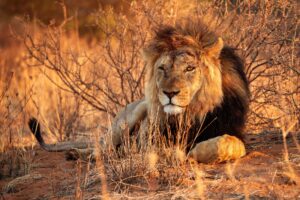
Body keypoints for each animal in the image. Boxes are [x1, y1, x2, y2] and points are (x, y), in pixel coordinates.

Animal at [28, 20, 250, 164]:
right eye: (162, 68)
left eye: (189, 68)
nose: (169, 93)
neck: (191, 114)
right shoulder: (151, 139)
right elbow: (163, 151)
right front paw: (180, 154)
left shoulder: (231, 130)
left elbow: (229, 144)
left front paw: (194, 152)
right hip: (129, 118)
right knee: (104, 147)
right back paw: (84, 154)